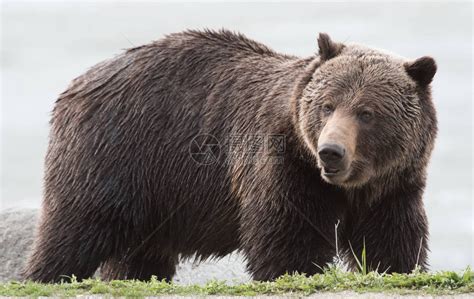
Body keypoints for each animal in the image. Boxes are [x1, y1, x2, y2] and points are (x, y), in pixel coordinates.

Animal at [22, 28, 436, 284]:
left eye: (366, 113)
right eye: (327, 105)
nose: (330, 152)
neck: (349, 186)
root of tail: (76, 83)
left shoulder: (393, 186)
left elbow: (391, 240)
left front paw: (397, 266)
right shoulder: (283, 165)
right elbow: (286, 238)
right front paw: (297, 270)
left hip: (152, 197)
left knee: (136, 254)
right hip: (114, 157)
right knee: (72, 230)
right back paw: (44, 275)